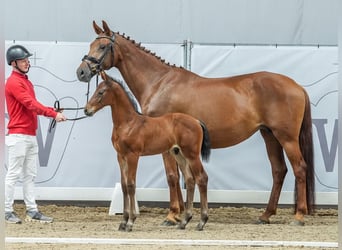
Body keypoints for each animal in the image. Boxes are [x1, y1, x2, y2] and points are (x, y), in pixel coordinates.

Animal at [84, 71, 210, 231]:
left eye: (101, 92)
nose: (86, 110)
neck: (128, 123)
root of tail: (196, 121)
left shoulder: (133, 156)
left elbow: (131, 185)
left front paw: (130, 222)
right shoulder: (120, 156)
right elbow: (124, 186)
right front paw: (123, 222)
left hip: (192, 155)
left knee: (202, 178)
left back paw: (201, 222)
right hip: (179, 154)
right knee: (190, 180)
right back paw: (184, 221)